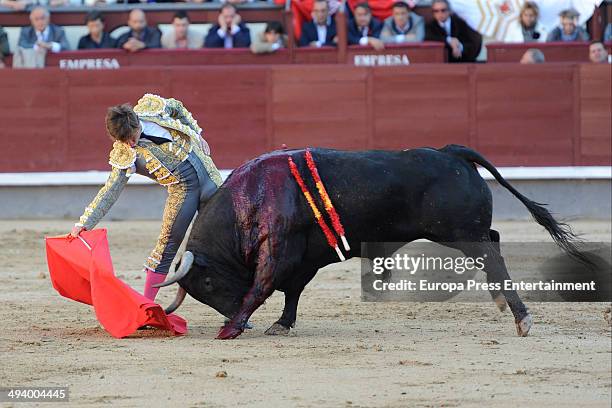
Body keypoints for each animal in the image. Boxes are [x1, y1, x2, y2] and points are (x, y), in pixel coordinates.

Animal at [157, 145, 584, 340]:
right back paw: (502, 303)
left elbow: (263, 285)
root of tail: (451, 151)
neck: (252, 196)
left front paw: (231, 329)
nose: (235, 320)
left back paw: (521, 318)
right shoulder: (304, 258)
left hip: (461, 232)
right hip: (464, 231)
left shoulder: (279, 249)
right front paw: (281, 323)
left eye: (207, 282)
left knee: (492, 255)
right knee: (493, 243)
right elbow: (292, 291)